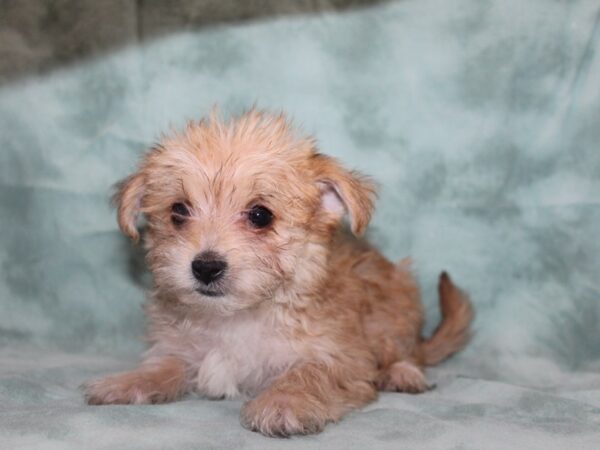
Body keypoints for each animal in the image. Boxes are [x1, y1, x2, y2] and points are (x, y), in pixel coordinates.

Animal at [84, 109, 476, 436]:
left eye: (261, 215)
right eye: (178, 211)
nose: (206, 266)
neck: (238, 317)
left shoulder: (342, 357)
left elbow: (310, 372)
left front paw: (283, 402)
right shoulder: (181, 347)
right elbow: (165, 364)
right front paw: (128, 382)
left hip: (394, 304)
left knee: (407, 349)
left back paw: (403, 372)